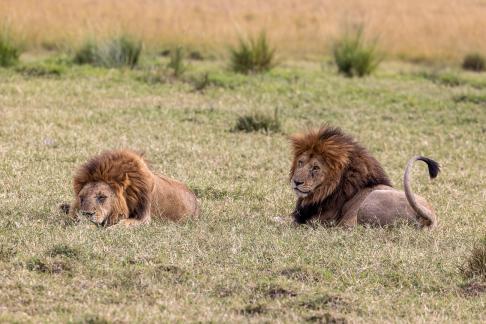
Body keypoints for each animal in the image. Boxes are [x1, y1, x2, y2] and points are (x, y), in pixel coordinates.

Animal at [288, 126, 440, 228]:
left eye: (316, 168)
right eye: (300, 162)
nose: (296, 182)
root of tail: (429, 215)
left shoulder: (317, 221)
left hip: (369, 202)